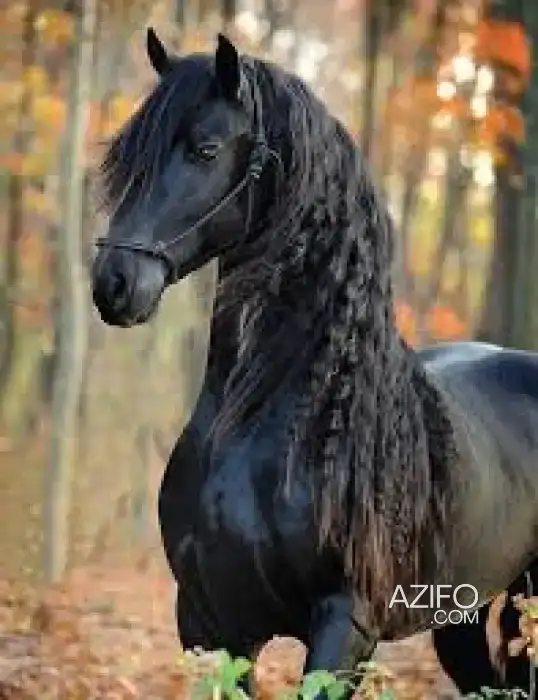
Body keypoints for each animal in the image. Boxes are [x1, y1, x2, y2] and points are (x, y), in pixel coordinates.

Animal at [90, 28, 538, 697]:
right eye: (125, 156)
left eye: (205, 149)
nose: (114, 284)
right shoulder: (209, 626)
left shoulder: (343, 625)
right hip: (463, 613)